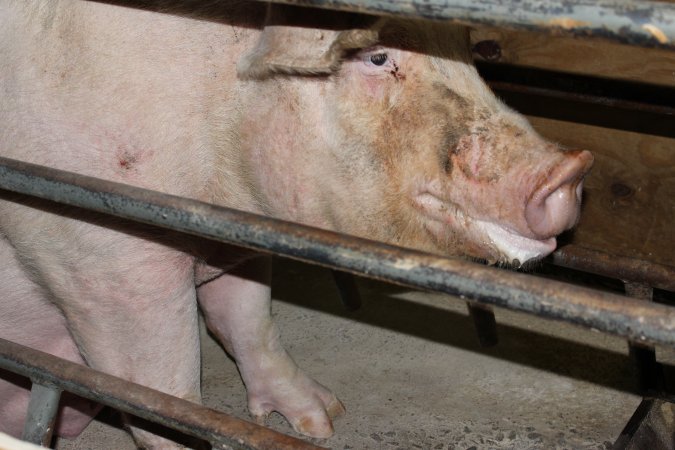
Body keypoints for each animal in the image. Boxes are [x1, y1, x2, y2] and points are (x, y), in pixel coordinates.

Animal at [0, 0, 592, 446]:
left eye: (463, 51)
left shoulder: (234, 238)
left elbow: (250, 323)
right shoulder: (100, 264)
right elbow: (158, 393)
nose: (567, 170)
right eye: (377, 57)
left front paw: (324, 421)